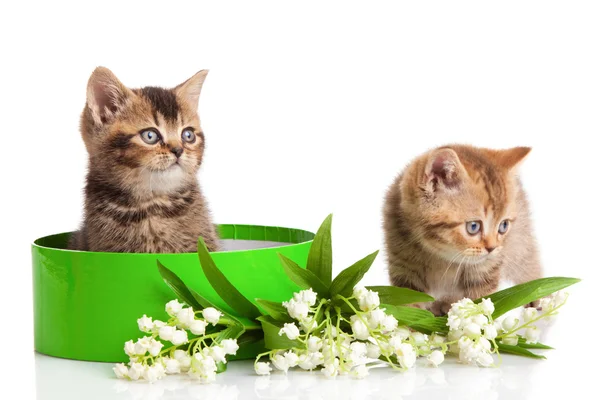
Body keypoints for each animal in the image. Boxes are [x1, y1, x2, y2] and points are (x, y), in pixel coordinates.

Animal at [384, 145, 544, 316]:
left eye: (503, 226)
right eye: (473, 226)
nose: (492, 248)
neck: (441, 257)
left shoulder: (485, 270)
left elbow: (480, 302)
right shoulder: (403, 266)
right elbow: (408, 300)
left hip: (520, 240)